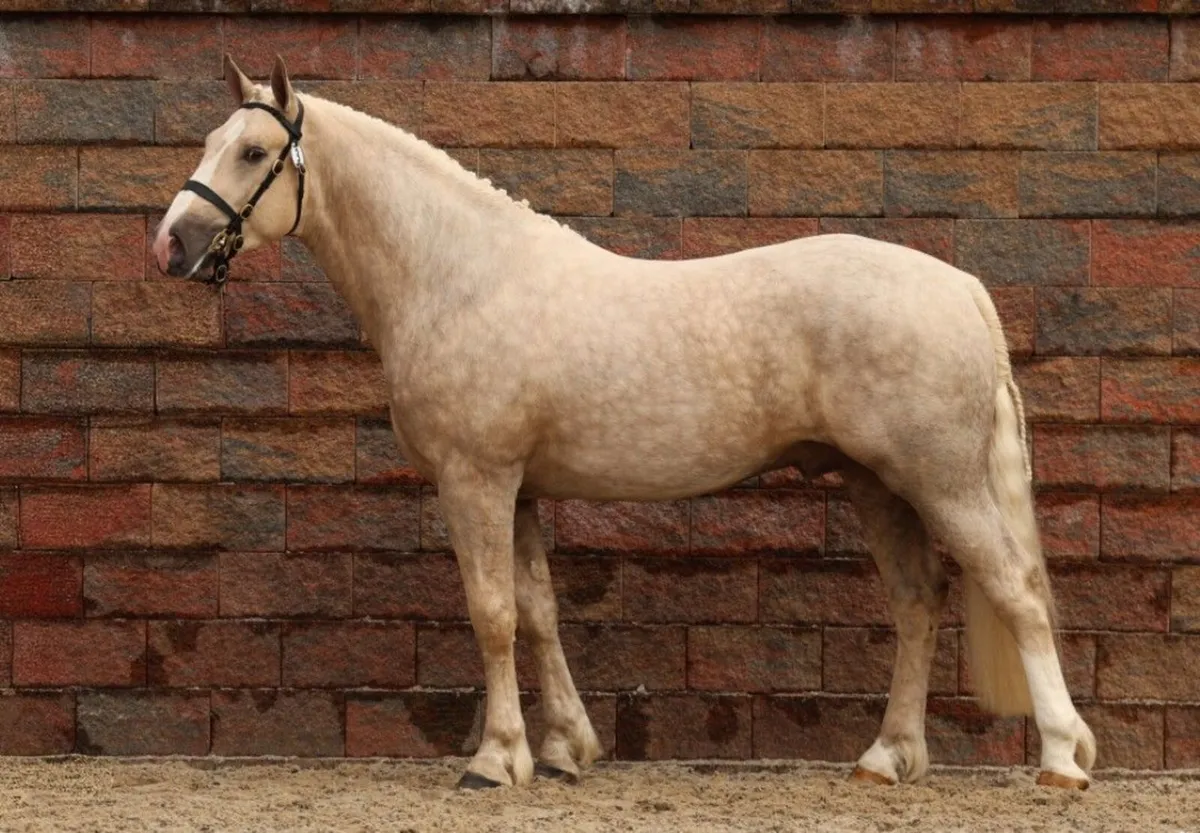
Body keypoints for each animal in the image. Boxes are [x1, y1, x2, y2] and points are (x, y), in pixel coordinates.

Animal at [152, 54, 1097, 792]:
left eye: (253, 151)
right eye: (207, 144)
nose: (171, 244)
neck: (460, 275)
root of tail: (961, 287)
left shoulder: (475, 477)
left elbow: (492, 611)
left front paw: (495, 760)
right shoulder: (519, 487)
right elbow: (537, 611)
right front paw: (566, 748)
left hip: (941, 481)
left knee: (1015, 589)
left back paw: (1059, 758)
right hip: (879, 484)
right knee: (916, 600)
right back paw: (887, 755)